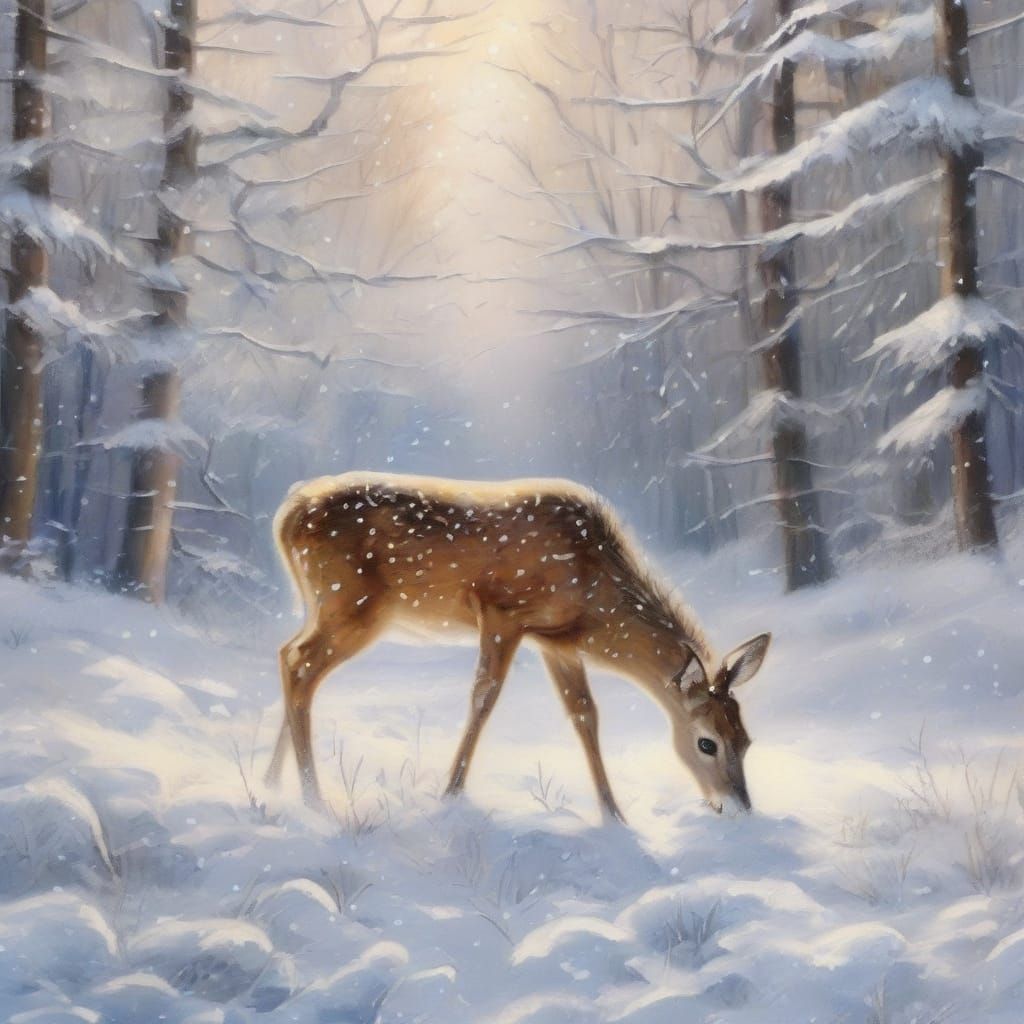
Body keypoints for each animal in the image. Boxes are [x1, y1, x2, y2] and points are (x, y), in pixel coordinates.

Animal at [264, 472, 771, 822]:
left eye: (746, 740)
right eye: (706, 742)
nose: (739, 808)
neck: (597, 599)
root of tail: (286, 515)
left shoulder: (557, 642)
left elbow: (585, 715)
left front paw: (615, 815)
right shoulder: (503, 613)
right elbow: (484, 696)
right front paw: (450, 795)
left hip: (322, 606)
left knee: (289, 657)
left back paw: (272, 786)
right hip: (351, 606)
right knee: (298, 663)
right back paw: (311, 798)